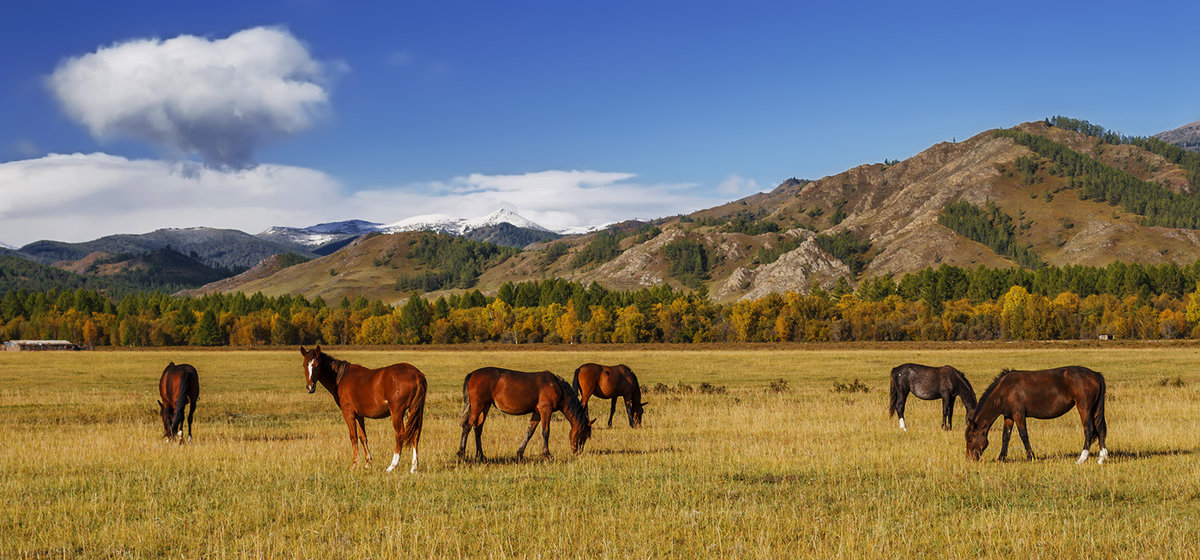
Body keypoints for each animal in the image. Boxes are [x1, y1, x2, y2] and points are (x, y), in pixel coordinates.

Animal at [298, 345, 427, 472]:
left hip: (397, 412)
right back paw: (414, 466)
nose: (310, 387)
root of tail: (416, 373)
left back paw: (392, 465)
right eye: (304, 365)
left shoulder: (348, 413)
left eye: (317, 364)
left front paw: (354, 464)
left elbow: (353, 437)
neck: (341, 378)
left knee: (399, 434)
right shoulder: (359, 415)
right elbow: (362, 437)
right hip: (416, 410)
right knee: (416, 433)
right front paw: (368, 463)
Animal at [456, 369, 592, 460]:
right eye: (584, 435)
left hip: (485, 406)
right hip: (477, 406)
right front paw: (547, 454)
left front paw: (520, 453)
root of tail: (472, 374)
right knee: (467, 426)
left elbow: (529, 432)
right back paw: (462, 454)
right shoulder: (545, 410)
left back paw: (480, 455)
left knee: (478, 429)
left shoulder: (537, 413)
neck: (558, 387)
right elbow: (546, 432)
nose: (578, 452)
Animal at [960, 366, 1108, 462]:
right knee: (1100, 429)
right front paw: (1001, 458)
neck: (1005, 390)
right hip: (1094, 409)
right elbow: (1005, 437)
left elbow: (1023, 435)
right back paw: (1102, 458)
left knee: (1089, 430)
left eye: (970, 439)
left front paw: (1031, 456)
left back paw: (1082, 458)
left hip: (1084, 408)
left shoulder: (1019, 415)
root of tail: (1095, 374)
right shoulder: (1008, 417)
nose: (969, 459)